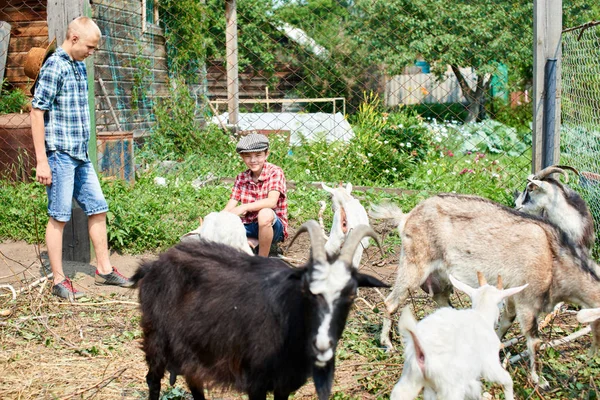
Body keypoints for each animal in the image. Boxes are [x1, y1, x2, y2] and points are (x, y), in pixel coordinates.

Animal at [132, 220, 390, 400]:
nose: (322, 344)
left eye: (351, 294)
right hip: (155, 337)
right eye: (306, 289)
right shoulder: (255, 382)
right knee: (153, 380)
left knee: (193, 381)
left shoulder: (284, 383)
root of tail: (153, 265)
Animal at [392, 274, 528, 400]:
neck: (481, 314)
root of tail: (421, 351)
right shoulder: (488, 363)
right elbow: (507, 381)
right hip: (451, 385)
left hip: (410, 377)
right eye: (502, 303)